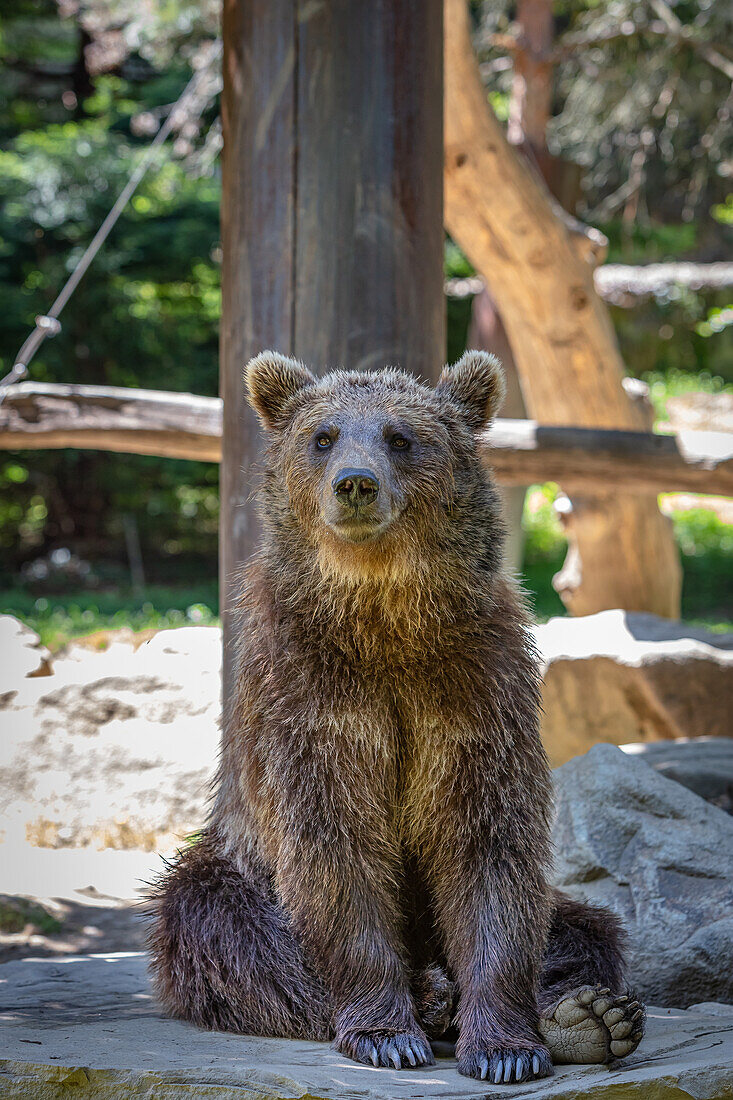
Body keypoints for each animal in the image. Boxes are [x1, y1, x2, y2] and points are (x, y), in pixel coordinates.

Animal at [147, 349, 638, 1082]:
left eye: (400, 438)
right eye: (323, 436)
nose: (355, 483)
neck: (383, 620)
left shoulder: (472, 685)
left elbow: (488, 845)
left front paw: (506, 1046)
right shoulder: (311, 692)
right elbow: (335, 844)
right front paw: (386, 1034)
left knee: (583, 930)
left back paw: (586, 1015)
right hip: (237, 864)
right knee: (221, 926)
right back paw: (430, 999)